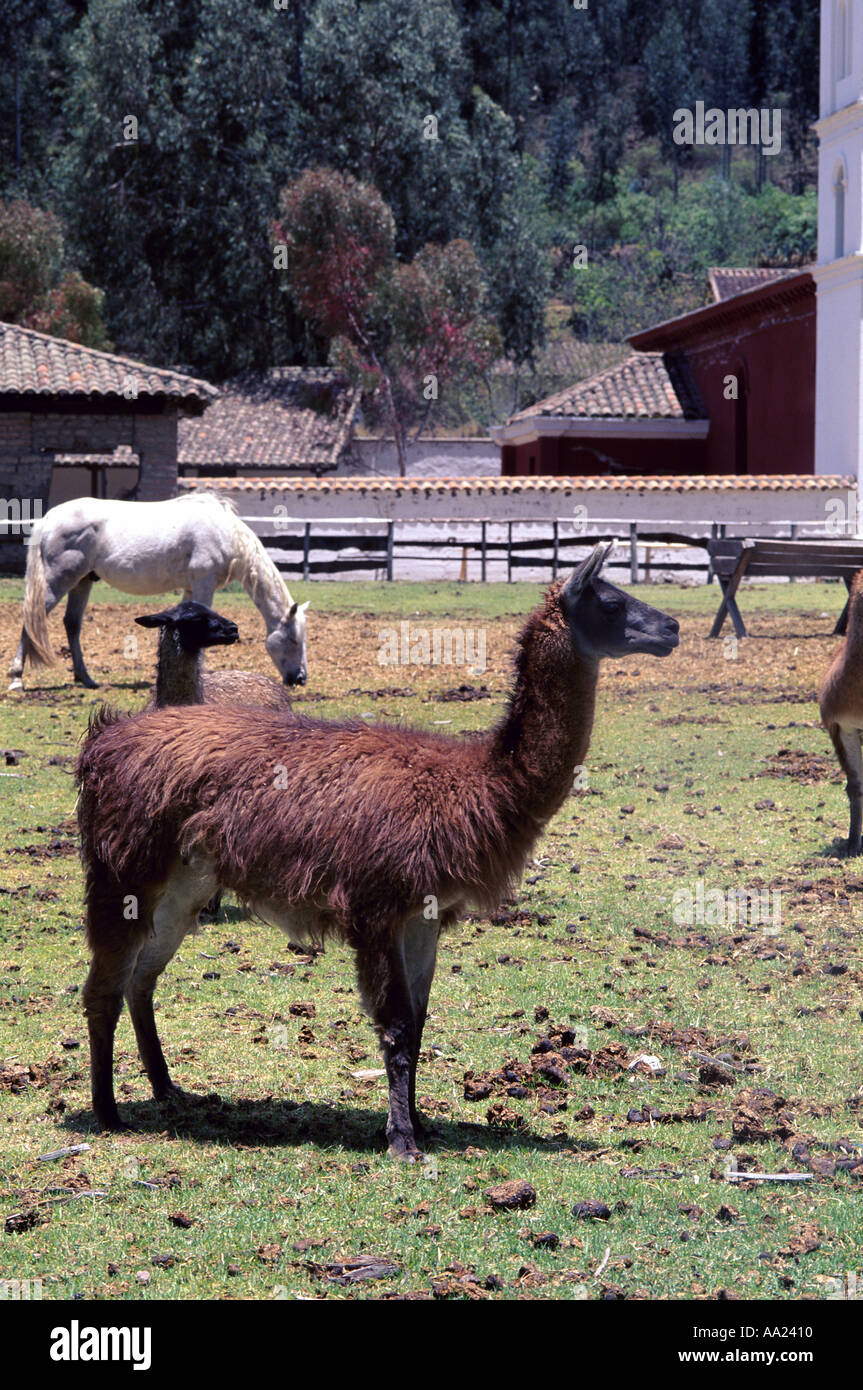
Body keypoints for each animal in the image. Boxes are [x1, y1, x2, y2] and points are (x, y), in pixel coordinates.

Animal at [7, 494, 310, 691]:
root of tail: (49, 519)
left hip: (83, 582)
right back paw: (17, 678)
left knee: (72, 623)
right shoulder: (203, 583)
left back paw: (86, 679)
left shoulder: (189, 589)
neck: (227, 535)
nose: (300, 678)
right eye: (293, 639)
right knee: (31, 621)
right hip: (58, 581)